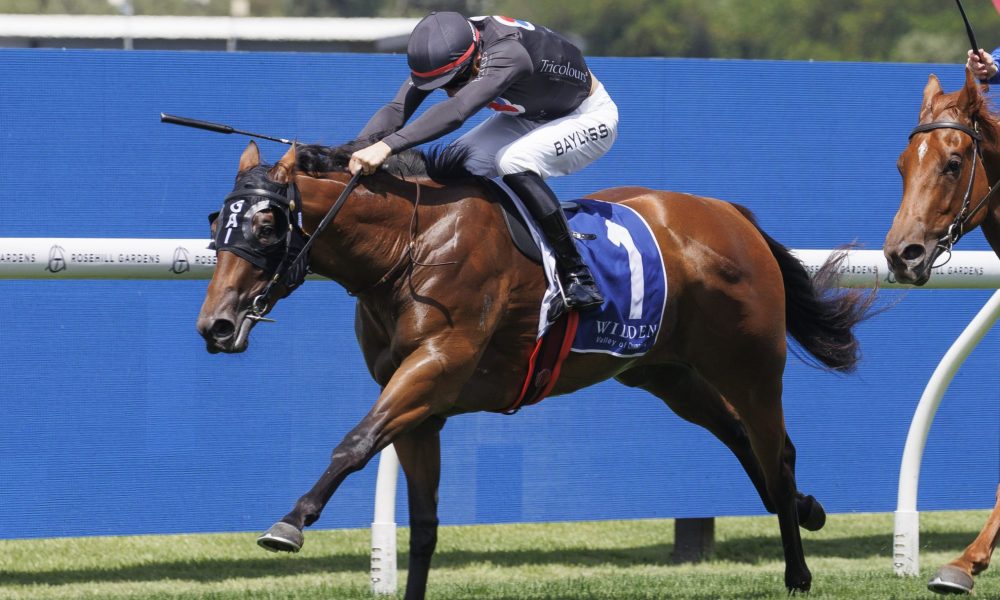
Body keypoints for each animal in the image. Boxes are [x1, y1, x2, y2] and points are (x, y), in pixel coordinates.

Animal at [196, 138, 874, 598]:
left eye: (266, 221)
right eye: (216, 222)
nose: (216, 325)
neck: (411, 245)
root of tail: (732, 216)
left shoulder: (435, 366)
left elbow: (356, 442)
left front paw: (290, 523)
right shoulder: (422, 408)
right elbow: (423, 524)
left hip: (750, 365)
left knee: (775, 451)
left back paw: (798, 570)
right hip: (666, 373)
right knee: (741, 439)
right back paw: (808, 509)